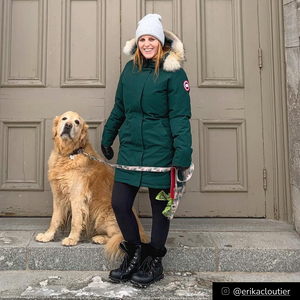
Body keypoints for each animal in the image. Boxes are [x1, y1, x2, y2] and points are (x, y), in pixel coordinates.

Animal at [35, 110, 148, 260]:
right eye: (64, 118)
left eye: (77, 122)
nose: (68, 125)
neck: (69, 154)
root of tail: (142, 232)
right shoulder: (58, 196)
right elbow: (54, 219)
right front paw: (47, 236)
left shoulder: (77, 197)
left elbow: (75, 221)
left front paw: (72, 239)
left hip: (103, 215)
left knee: (120, 237)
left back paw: (100, 238)